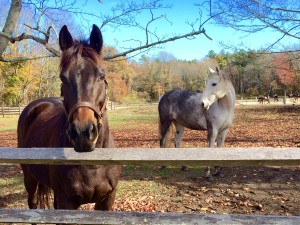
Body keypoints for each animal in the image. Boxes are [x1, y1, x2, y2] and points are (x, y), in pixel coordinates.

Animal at [17, 24, 120, 216]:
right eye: (63, 78)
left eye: (102, 76)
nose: (83, 133)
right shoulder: (67, 202)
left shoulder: (107, 200)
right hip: (30, 178)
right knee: (32, 203)